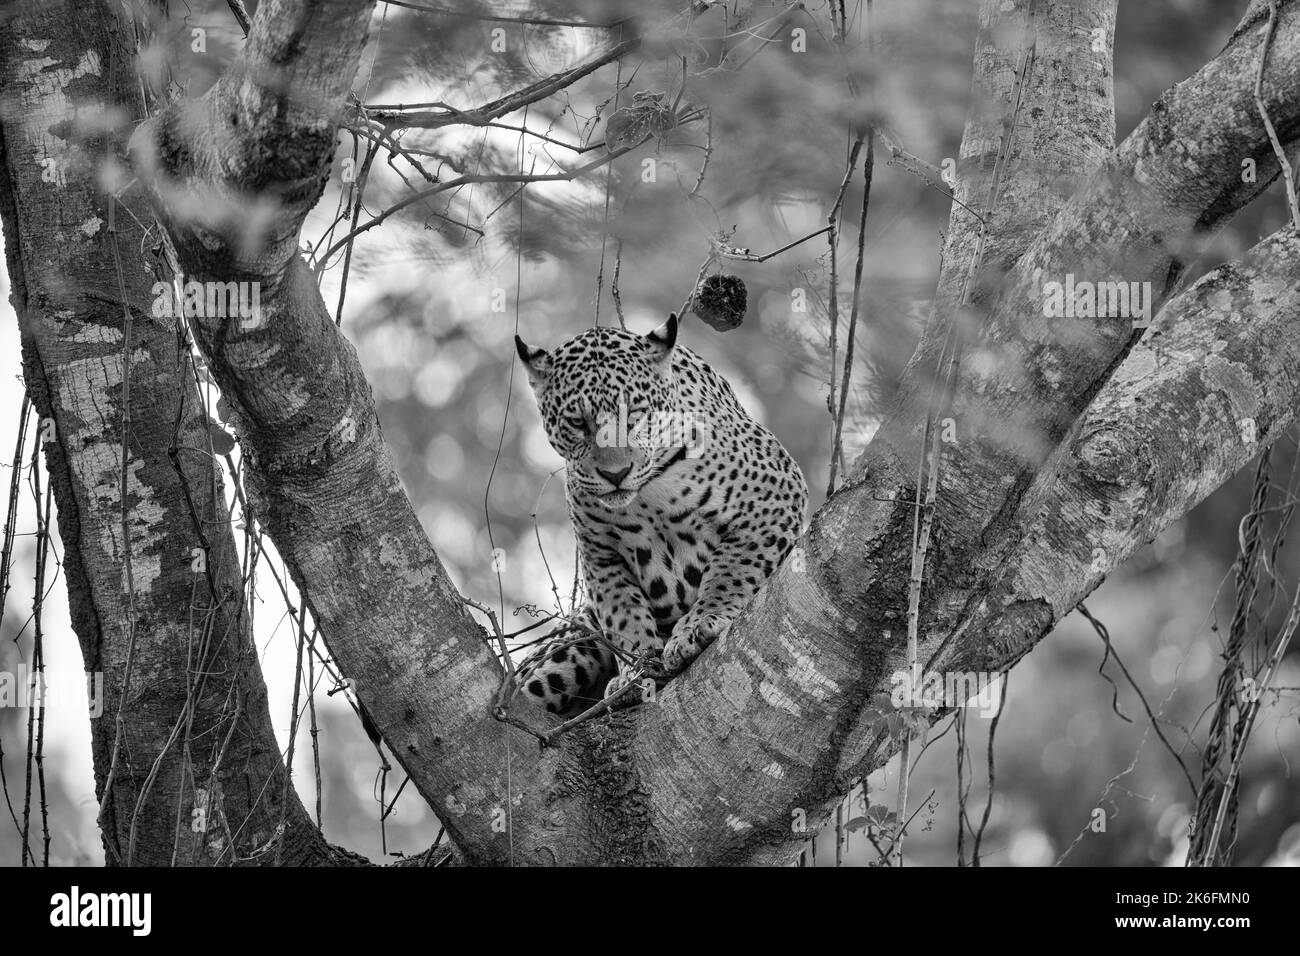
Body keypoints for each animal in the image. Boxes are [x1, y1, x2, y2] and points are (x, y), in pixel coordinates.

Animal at [512, 313, 807, 717]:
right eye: (578, 423)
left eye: (634, 416)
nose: (615, 473)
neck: (647, 497)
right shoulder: (600, 556)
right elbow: (622, 613)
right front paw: (636, 670)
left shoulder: (774, 497)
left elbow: (731, 571)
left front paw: (700, 623)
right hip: (571, 645)